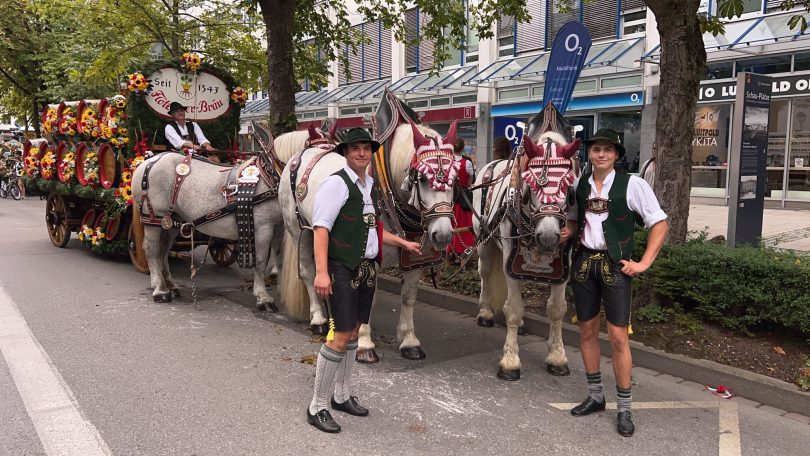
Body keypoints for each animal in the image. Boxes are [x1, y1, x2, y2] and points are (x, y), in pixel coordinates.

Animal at [131, 132, 284, 310]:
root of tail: (149, 160)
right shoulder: (263, 229)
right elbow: (260, 261)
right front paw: (263, 298)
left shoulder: (279, 229)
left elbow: (279, 260)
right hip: (153, 218)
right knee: (152, 249)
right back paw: (160, 290)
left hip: (170, 221)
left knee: (164, 250)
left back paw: (171, 285)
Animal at [472, 123, 580, 381]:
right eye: (530, 187)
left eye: (568, 186)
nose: (549, 237)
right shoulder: (511, 262)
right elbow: (513, 308)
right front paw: (510, 361)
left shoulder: (563, 266)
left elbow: (557, 310)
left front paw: (557, 357)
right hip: (486, 244)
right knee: (485, 274)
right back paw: (485, 313)